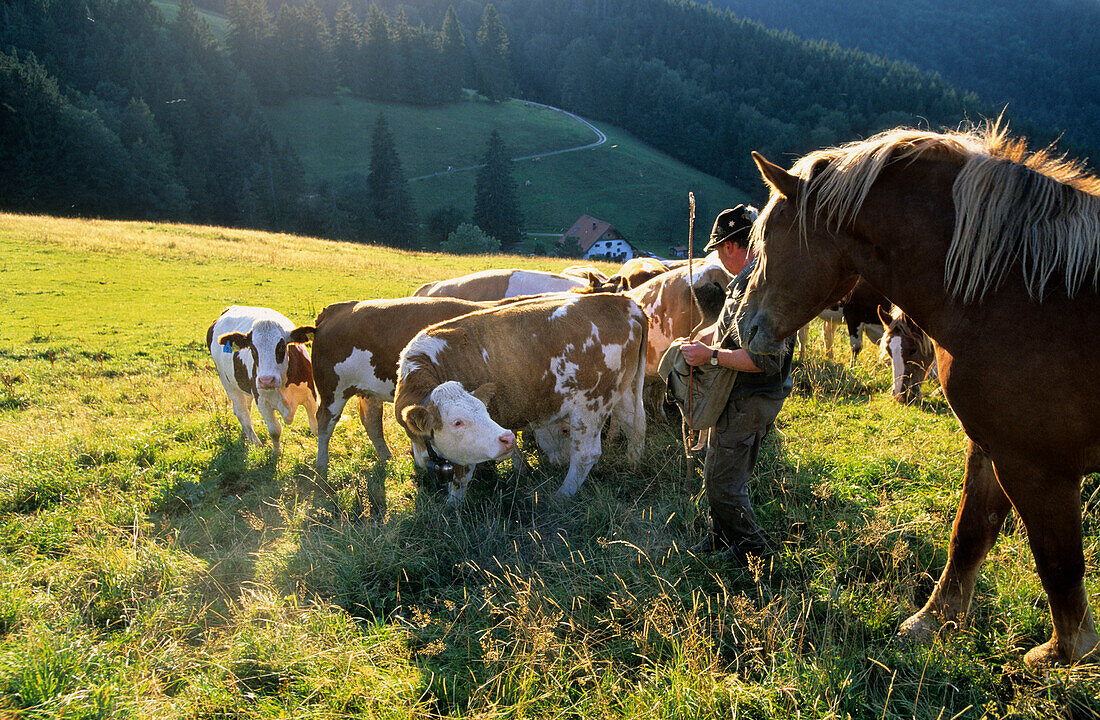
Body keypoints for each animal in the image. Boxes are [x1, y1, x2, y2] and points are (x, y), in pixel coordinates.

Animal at [206, 305, 319, 457]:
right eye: (252, 349)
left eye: (281, 346)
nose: (267, 380)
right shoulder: (263, 403)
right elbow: (275, 430)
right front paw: (276, 454)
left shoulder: (311, 396)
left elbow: (316, 426)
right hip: (228, 383)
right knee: (242, 413)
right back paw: (255, 443)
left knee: (245, 409)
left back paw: (245, 435)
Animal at [310, 296, 499, 479]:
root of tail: (335, 309)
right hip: (332, 391)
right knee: (325, 423)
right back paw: (321, 467)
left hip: (368, 392)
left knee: (371, 421)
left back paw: (386, 457)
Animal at [396, 292, 646, 501]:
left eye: (457, 422)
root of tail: (621, 302)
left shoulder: (462, 453)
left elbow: (460, 481)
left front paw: (451, 509)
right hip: (622, 391)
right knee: (634, 423)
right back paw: (633, 462)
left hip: (591, 404)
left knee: (585, 455)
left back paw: (561, 496)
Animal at [734, 120, 1100, 668]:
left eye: (768, 237)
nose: (744, 326)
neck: (1022, 289)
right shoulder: (993, 447)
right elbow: (970, 533)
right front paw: (932, 623)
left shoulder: (1039, 465)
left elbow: (1059, 562)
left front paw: (1061, 655)